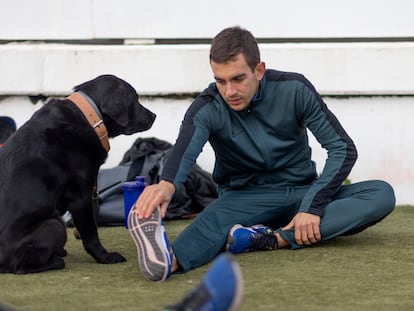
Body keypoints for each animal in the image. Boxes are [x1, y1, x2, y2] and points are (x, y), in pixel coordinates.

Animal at [0, 74, 156, 274]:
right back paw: (57, 261)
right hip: (54, 224)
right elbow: (91, 233)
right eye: (134, 99)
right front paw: (106, 257)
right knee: (19, 266)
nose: (154, 116)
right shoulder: (81, 196)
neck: (90, 117)